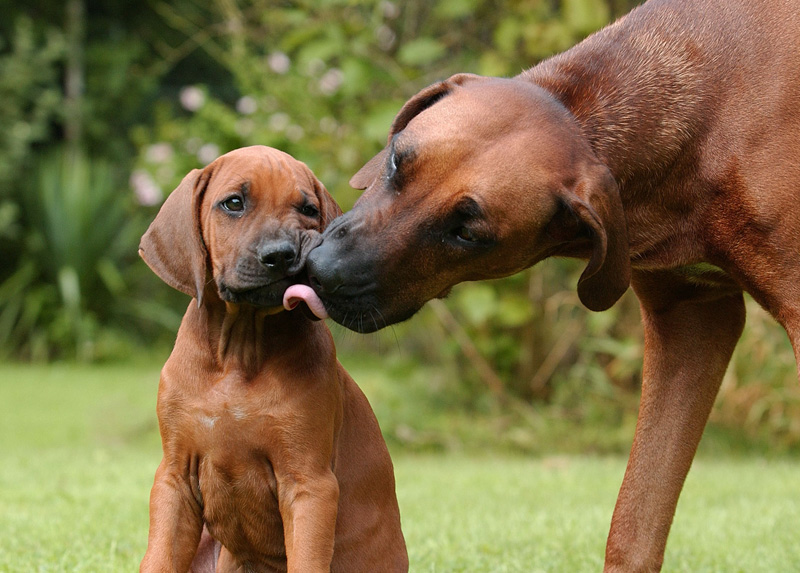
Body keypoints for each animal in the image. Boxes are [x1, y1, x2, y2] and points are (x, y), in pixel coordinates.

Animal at [136, 146, 406, 572]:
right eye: (234, 203)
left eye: (308, 209)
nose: (281, 255)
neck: (238, 354)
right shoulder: (174, 478)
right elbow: (160, 558)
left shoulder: (309, 484)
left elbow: (307, 560)